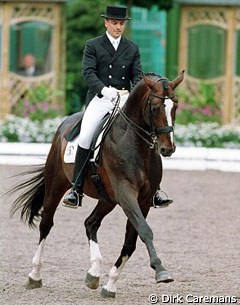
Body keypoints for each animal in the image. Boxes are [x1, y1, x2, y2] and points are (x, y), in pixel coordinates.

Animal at [9, 69, 184, 296]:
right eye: (155, 107)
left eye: (176, 106)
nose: (167, 149)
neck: (135, 144)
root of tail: (66, 123)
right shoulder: (126, 194)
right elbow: (145, 231)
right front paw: (161, 271)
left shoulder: (144, 200)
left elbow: (131, 241)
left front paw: (110, 285)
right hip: (56, 186)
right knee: (46, 224)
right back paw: (35, 276)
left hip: (107, 198)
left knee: (90, 223)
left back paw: (93, 273)